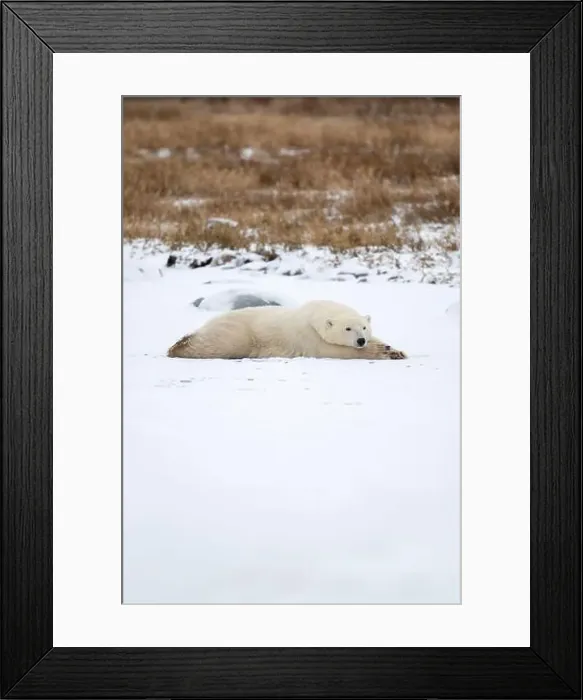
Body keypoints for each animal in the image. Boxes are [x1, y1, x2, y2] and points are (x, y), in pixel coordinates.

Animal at [167, 300, 406, 360]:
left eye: (364, 327)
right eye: (348, 328)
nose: (360, 340)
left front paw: (395, 350)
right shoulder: (308, 336)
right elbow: (333, 350)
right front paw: (381, 352)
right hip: (239, 332)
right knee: (216, 343)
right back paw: (179, 346)